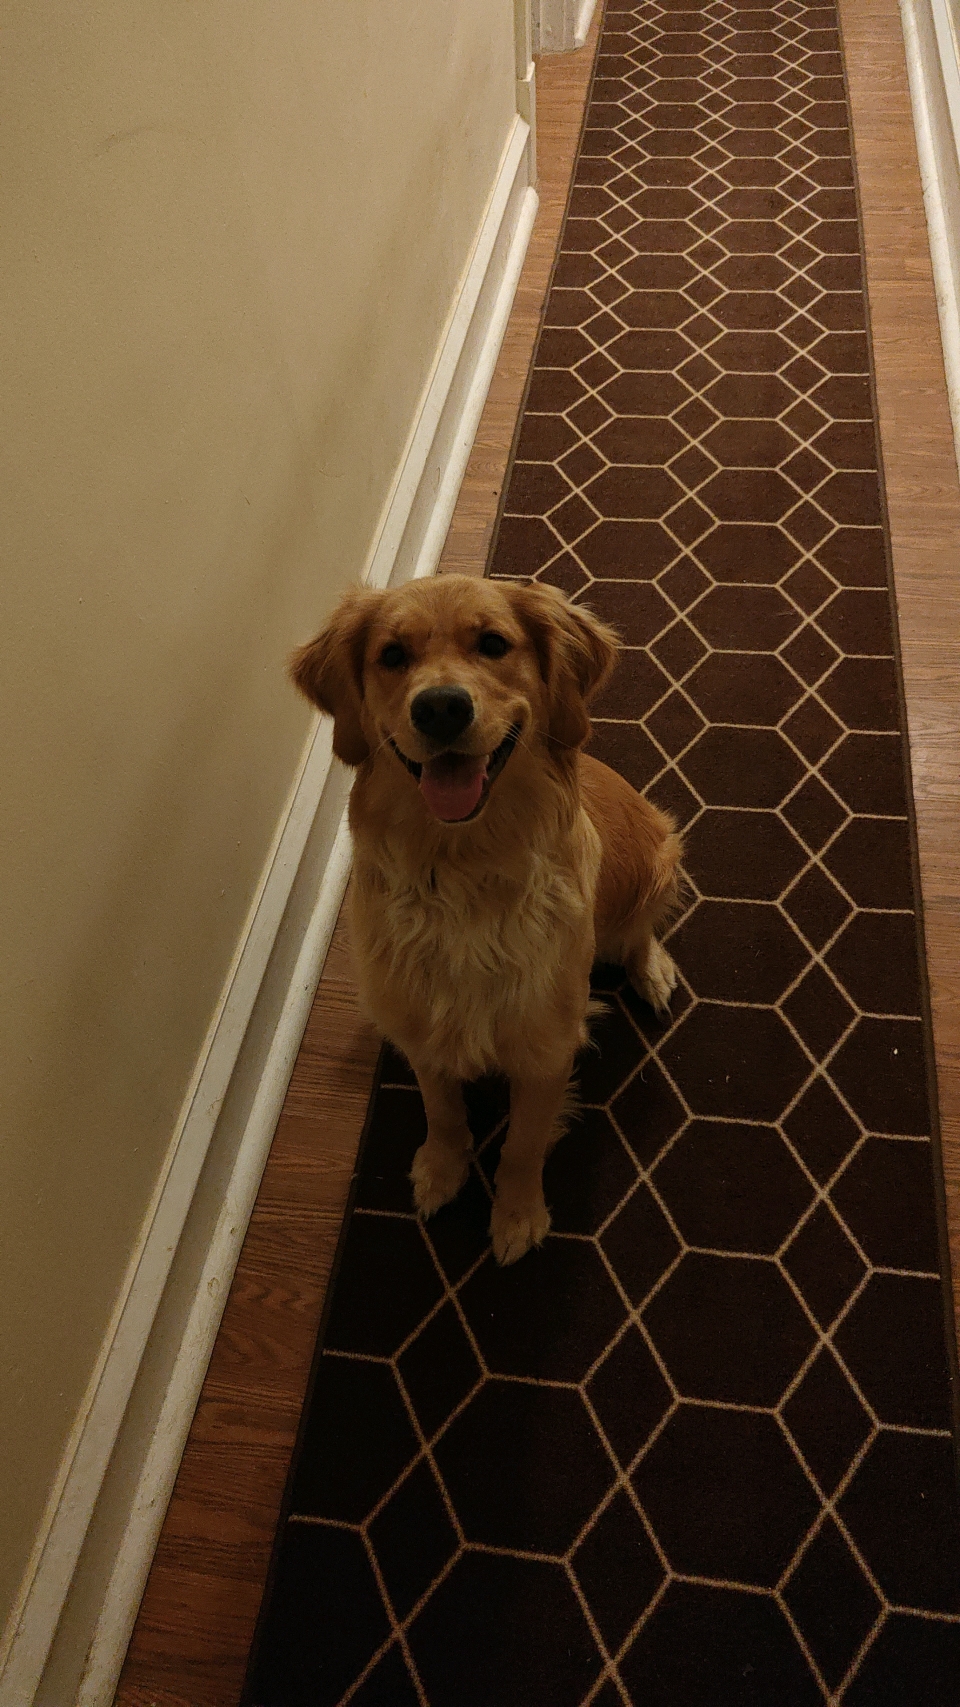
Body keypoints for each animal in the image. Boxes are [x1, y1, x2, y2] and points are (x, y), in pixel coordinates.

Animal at [292, 580, 679, 1263]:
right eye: (392, 656)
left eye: (494, 644)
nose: (441, 708)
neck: (463, 871)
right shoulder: (420, 1027)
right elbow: (442, 1108)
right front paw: (440, 1169)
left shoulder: (546, 1047)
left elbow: (523, 1143)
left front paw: (518, 1213)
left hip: (656, 858)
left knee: (637, 935)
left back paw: (652, 973)